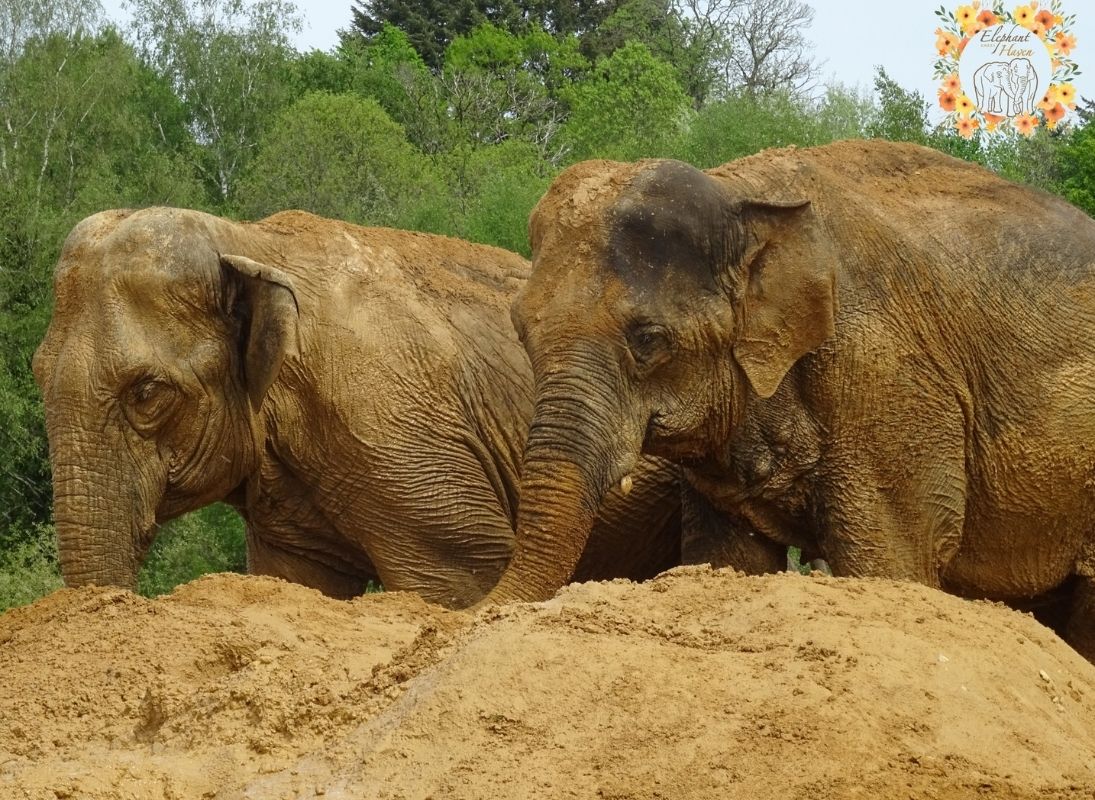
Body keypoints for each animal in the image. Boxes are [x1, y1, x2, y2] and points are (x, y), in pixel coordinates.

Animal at [483, 138, 1095, 665]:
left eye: (649, 339)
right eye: (520, 330)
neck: (743, 198)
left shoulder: (890, 380)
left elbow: (894, 558)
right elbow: (734, 559)